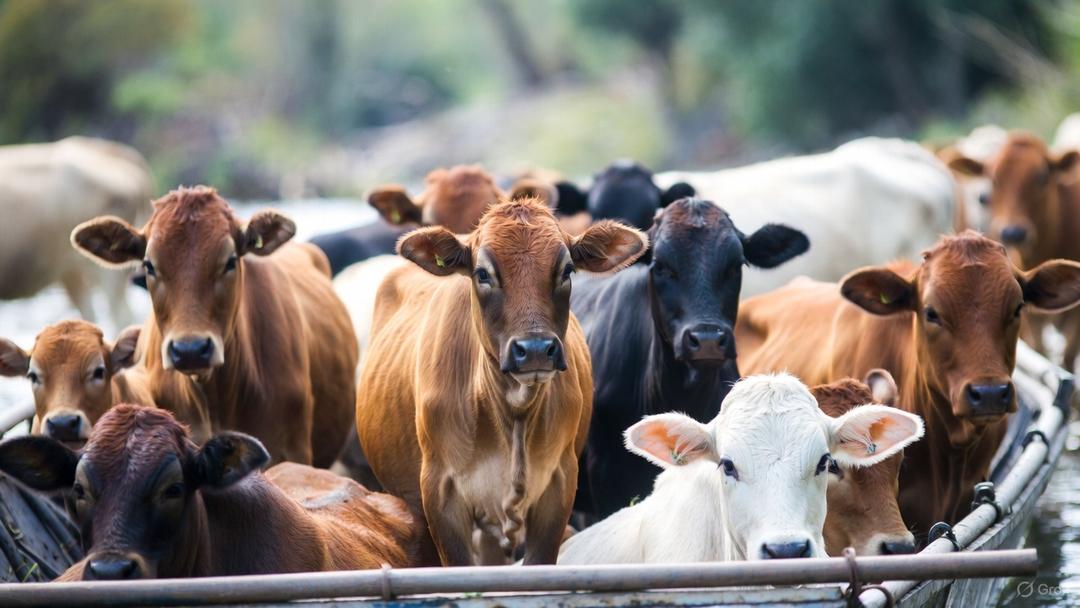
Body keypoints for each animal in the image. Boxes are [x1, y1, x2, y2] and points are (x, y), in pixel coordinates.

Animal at [356, 196, 647, 566]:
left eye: (567, 270)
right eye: (483, 273)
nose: (535, 349)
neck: (513, 415)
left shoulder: (559, 484)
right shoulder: (439, 493)